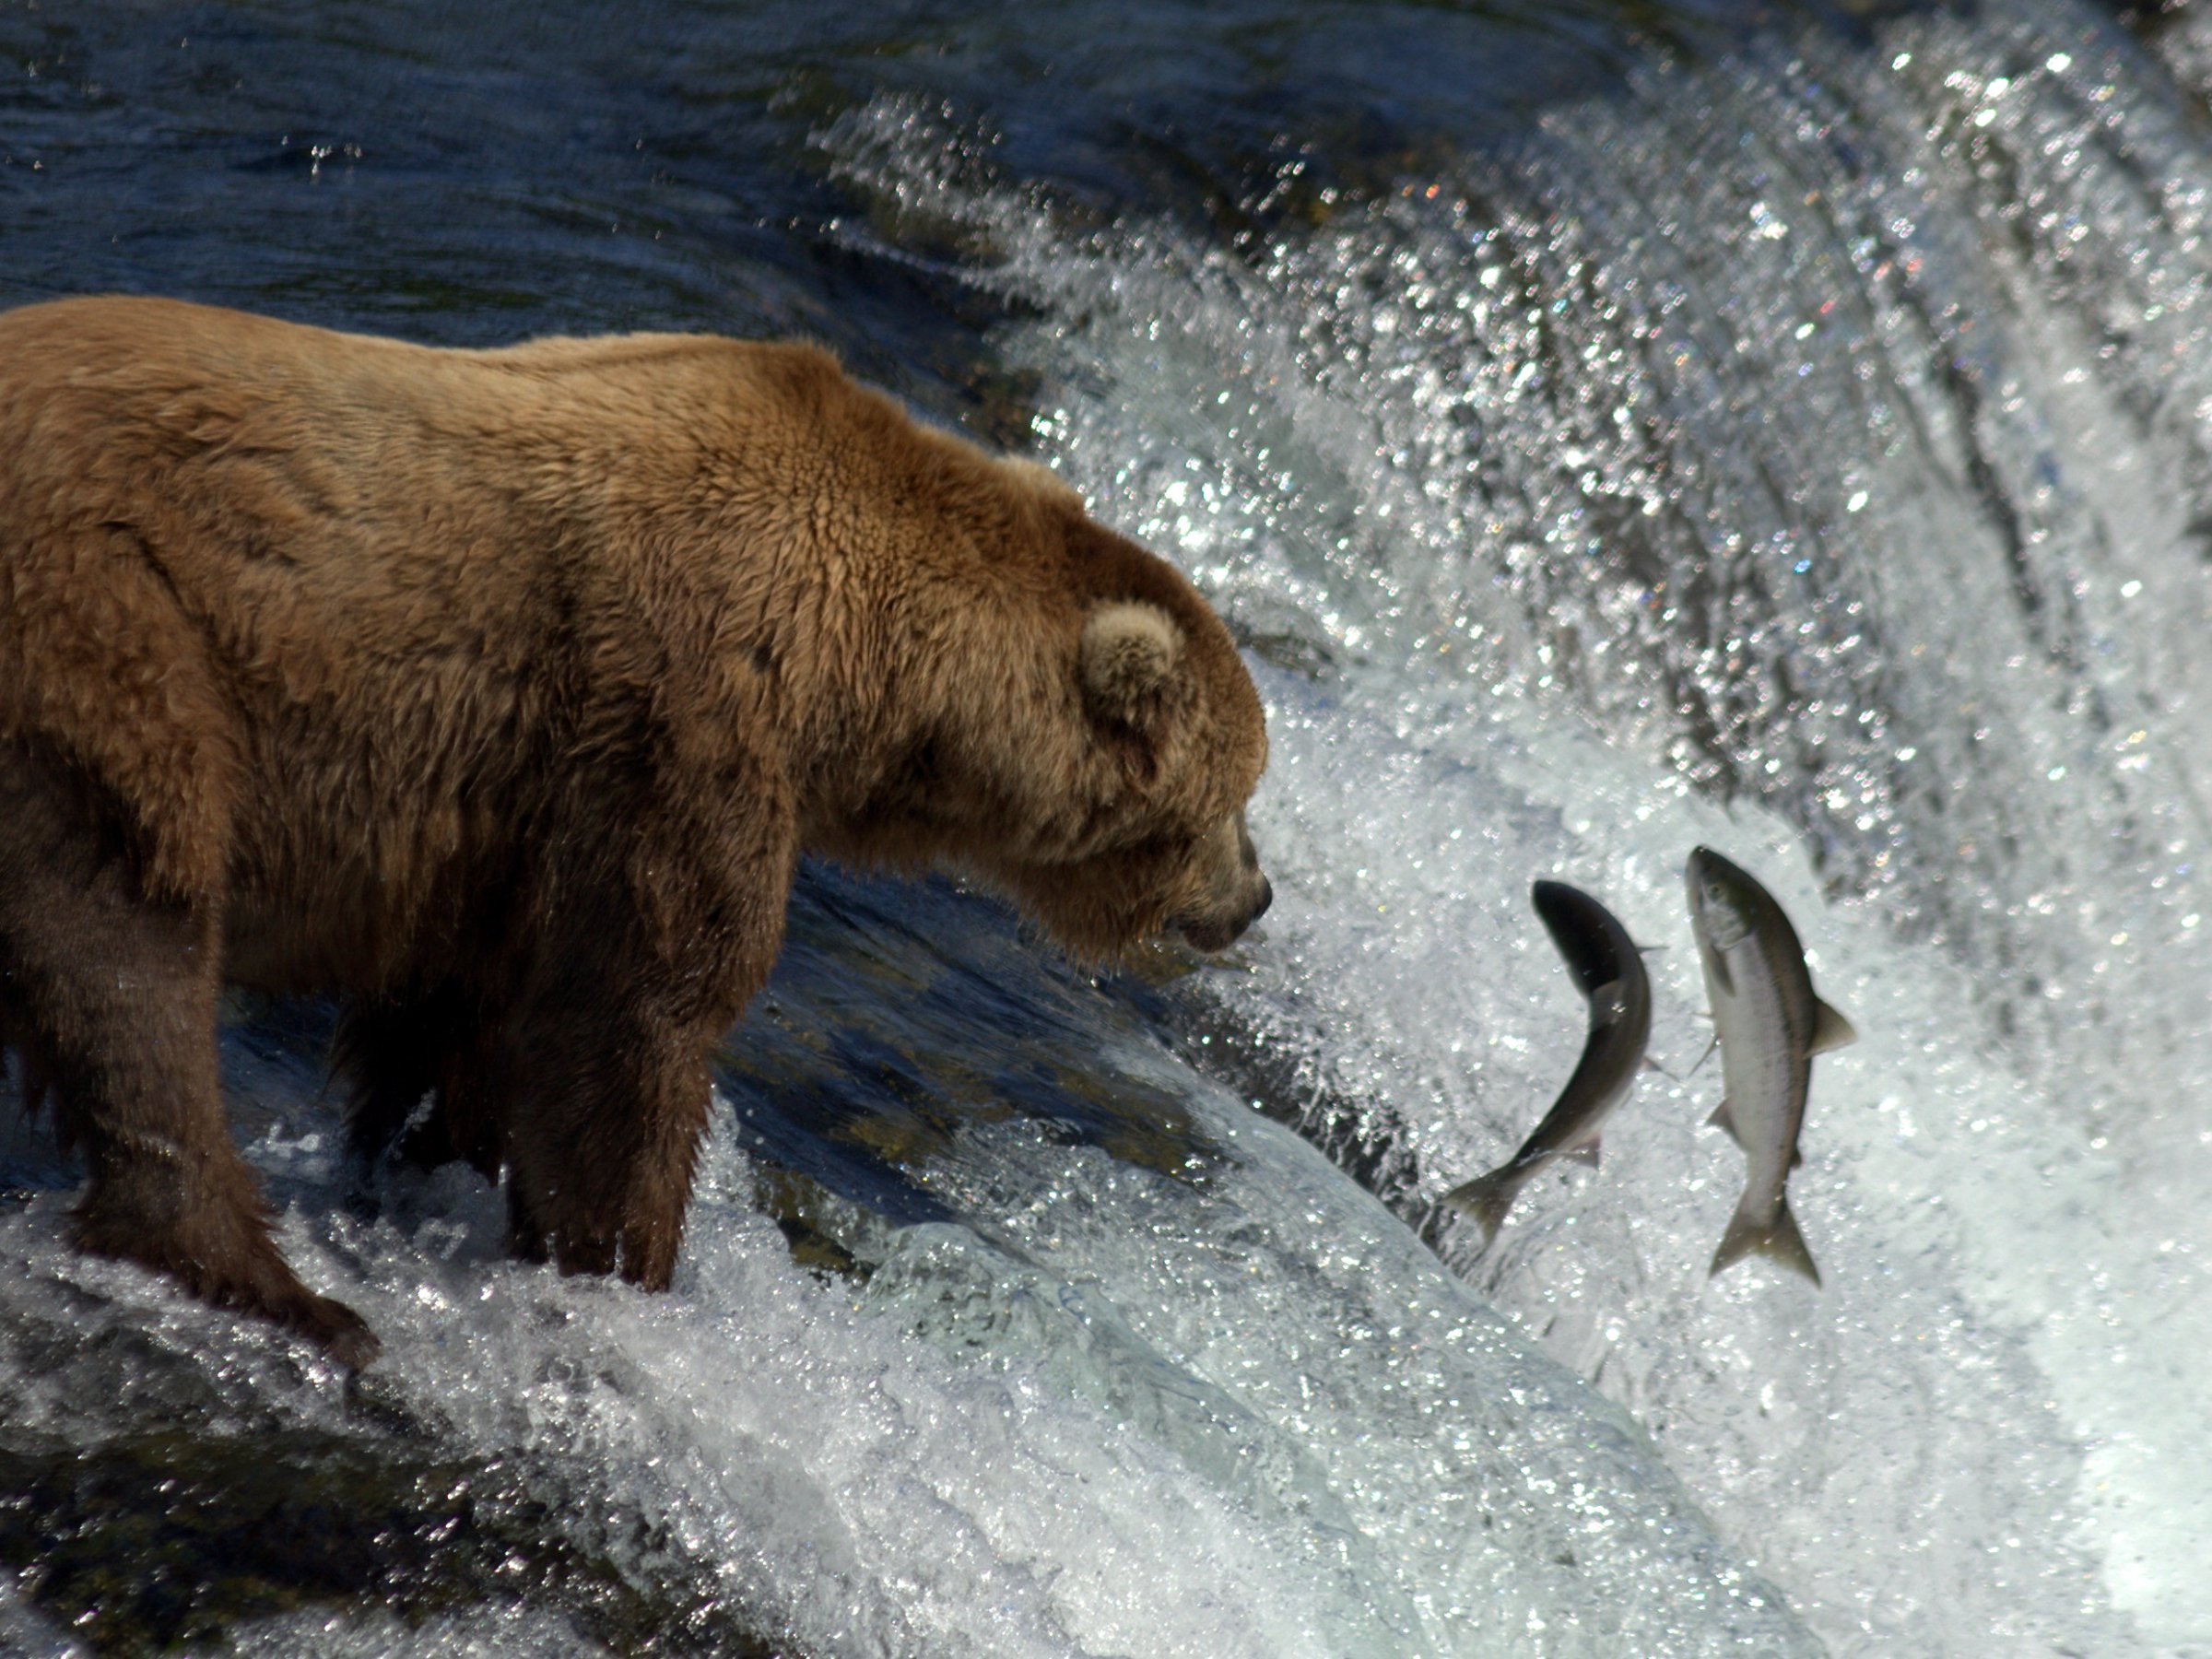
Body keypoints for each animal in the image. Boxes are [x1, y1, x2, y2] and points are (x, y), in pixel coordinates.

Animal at [0, 295, 1271, 1367]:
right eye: (1237, 793)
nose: (1254, 897)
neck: (866, 678)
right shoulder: (681, 709)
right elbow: (640, 1008)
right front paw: (624, 1265)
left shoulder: (503, 818)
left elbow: (464, 1012)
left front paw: (422, 1165)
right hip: (115, 635)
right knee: (131, 944)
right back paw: (272, 1285)